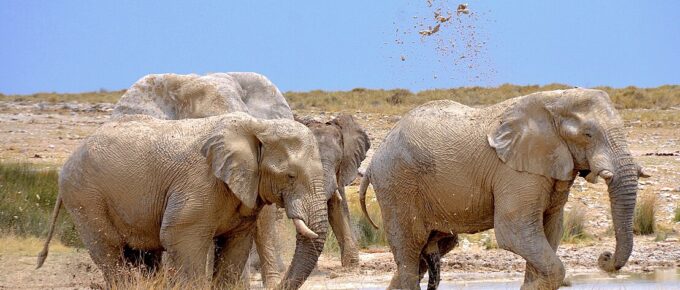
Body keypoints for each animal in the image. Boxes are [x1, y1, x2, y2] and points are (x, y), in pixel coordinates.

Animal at [37, 111, 330, 290]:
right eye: (290, 176)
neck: (259, 125)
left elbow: (236, 246)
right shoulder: (198, 183)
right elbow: (181, 237)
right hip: (85, 198)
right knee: (108, 249)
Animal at [358, 89, 652, 290]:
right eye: (588, 135)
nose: (605, 257)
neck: (555, 101)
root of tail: (374, 160)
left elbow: (550, 231)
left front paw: (531, 283)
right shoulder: (515, 171)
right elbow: (516, 233)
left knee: (428, 253)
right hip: (397, 185)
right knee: (409, 253)